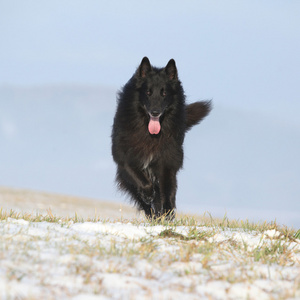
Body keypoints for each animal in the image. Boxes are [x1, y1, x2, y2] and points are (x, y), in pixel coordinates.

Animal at [110, 56, 211, 218]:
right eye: (148, 92)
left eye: (164, 93)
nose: (155, 112)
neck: (150, 135)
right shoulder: (125, 156)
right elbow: (140, 178)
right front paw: (147, 193)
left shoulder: (167, 162)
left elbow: (167, 191)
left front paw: (167, 213)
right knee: (145, 201)